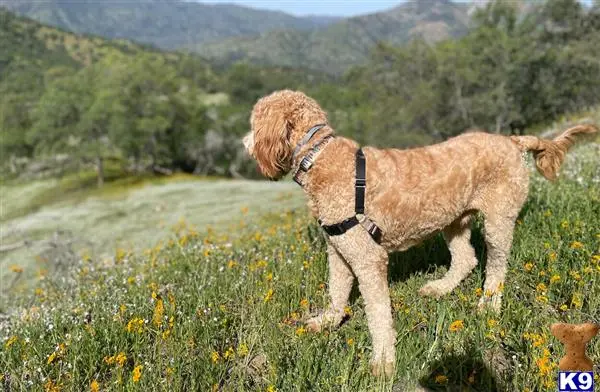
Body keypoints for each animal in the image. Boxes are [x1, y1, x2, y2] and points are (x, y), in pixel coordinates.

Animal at [243, 89, 596, 376]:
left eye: (254, 121)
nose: (244, 142)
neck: (320, 156)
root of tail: (513, 141)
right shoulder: (339, 250)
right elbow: (337, 290)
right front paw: (329, 321)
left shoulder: (369, 259)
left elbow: (379, 316)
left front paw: (383, 362)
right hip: (454, 220)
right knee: (466, 259)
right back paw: (441, 288)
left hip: (499, 220)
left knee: (496, 267)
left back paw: (489, 305)